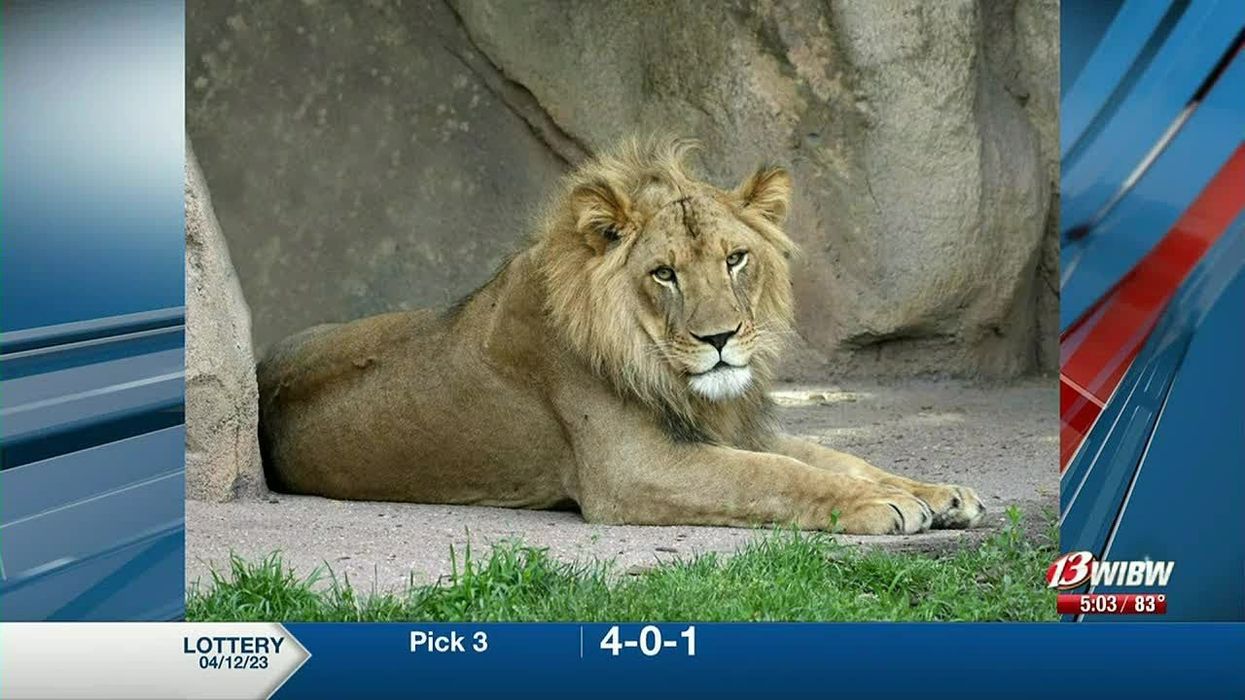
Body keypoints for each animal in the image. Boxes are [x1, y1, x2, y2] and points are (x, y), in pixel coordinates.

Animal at [257, 137, 985, 535]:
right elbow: (774, 475)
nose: (720, 338)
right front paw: (883, 504)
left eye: (735, 259)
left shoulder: (732, 427)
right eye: (663, 273)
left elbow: (835, 456)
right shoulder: (633, 470)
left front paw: (935, 493)